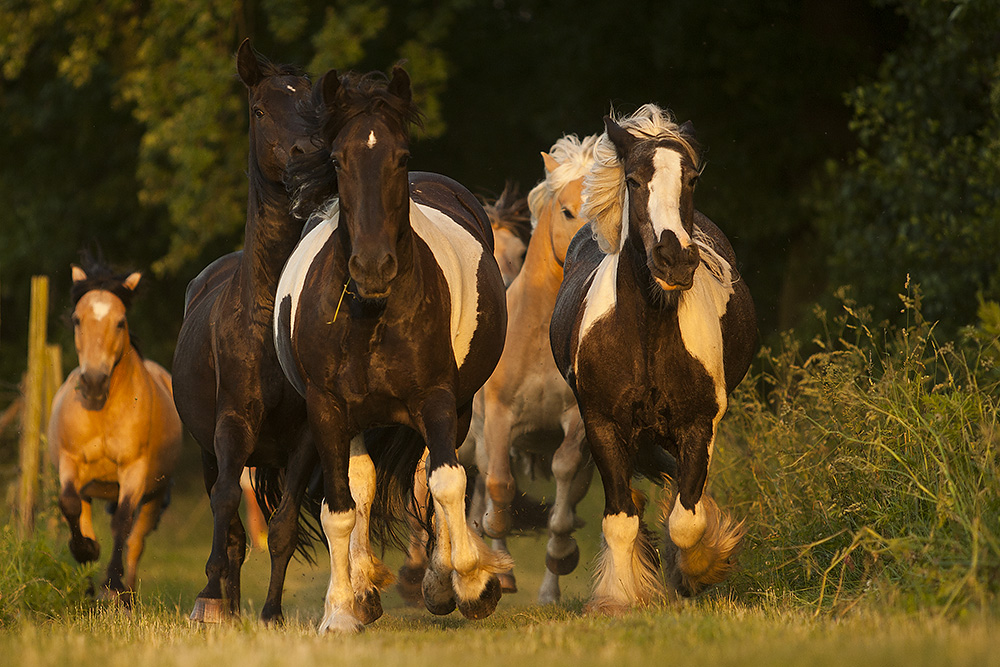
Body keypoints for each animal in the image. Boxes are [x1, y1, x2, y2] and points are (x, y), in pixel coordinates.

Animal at [48, 258, 183, 604]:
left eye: (120, 322)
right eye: (77, 319)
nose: (94, 382)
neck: (103, 412)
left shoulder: (134, 470)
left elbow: (123, 521)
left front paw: (112, 584)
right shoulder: (70, 464)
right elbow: (68, 504)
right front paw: (87, 552)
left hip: (154, 493)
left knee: (136, 540)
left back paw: (126, 597)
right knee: (82, 514)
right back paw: (86, 586)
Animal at [274, 65, 508, 636]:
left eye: (400, 156)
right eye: (338, 159)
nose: (373, 267)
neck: (371, 315)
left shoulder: (438, 398)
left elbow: (446, 482)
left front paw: (470, 584)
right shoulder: (327, 409)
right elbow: (339, 509)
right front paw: (341, 610)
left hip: (455, 408)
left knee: (429, 477)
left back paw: (442, 581)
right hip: (357, 420)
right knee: (362, 487)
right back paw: (363, 588)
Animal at [466, 133, 596, 604]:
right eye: (567, 210)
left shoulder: (576, 421)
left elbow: (564, 482)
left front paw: (561, 556)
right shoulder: (500, 417)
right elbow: (500, 488)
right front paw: (497, 554)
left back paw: (548, 590)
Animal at [548, 104, 756, 612]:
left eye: (692, 178)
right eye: (634, 179)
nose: (674, 259)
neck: (647, 336)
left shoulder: (699, 423)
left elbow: (687, 519)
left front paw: (698, 571)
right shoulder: (602, 424)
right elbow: (620, 518)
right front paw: (621, 597)